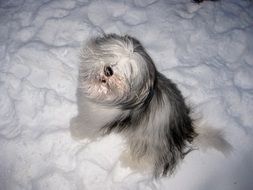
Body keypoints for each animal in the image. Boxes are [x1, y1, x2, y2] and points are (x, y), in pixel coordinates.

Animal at [69, 33, 231, 177]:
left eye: (128, 71)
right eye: (112, 56)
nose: (109, 70)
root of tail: (184, 127)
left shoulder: (97, 118)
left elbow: (86, 125)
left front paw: (75, 131)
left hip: (149, 141)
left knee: (145, 158)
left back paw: (127, 162)